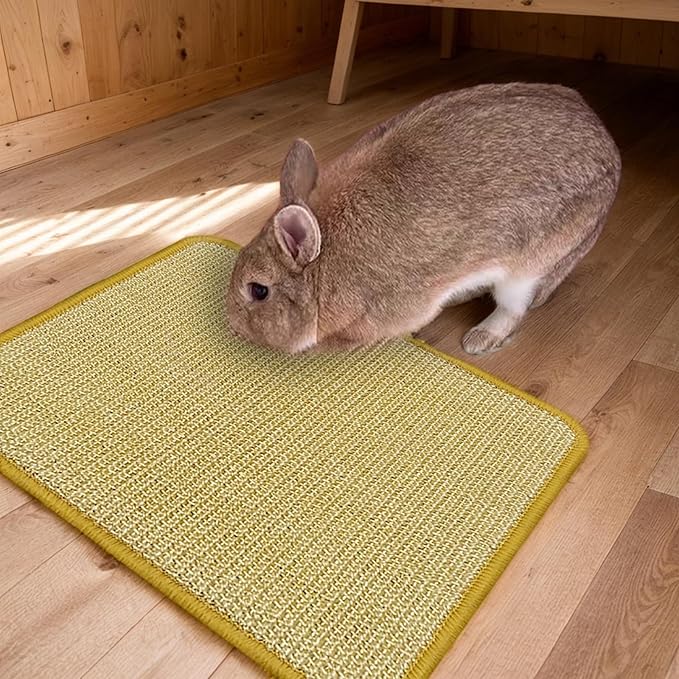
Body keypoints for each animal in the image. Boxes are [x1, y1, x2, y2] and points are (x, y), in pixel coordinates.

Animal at [227, 82, 621, 355]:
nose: (233, 325)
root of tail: (610, 147)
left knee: (514, 307)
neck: (323, 267)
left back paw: (479, 339)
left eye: (259, 290)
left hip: (530, 265)